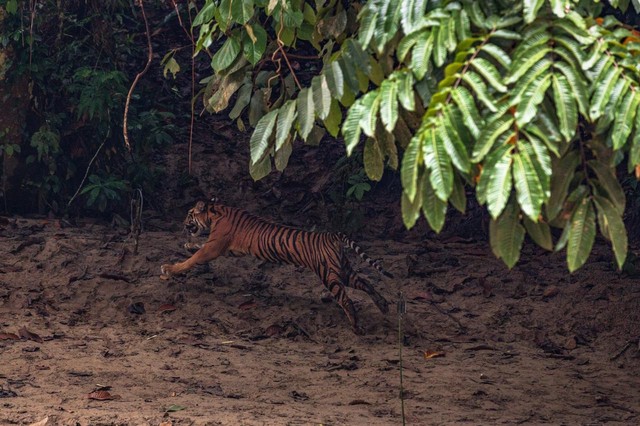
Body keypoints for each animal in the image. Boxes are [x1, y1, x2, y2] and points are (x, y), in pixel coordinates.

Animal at [160, 198, 392, 334]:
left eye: (189, 214)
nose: (183, 224)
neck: (215, 213)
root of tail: (332, 235)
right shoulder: (227, 248)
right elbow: (197, 248)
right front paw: (188, 245)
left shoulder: (214, 247)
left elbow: (192, 259)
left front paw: (169, 270)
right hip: (343, 270)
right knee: (367, 283)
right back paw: (383, 305)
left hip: (329, 274)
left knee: (346, 300)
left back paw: (356, 327)